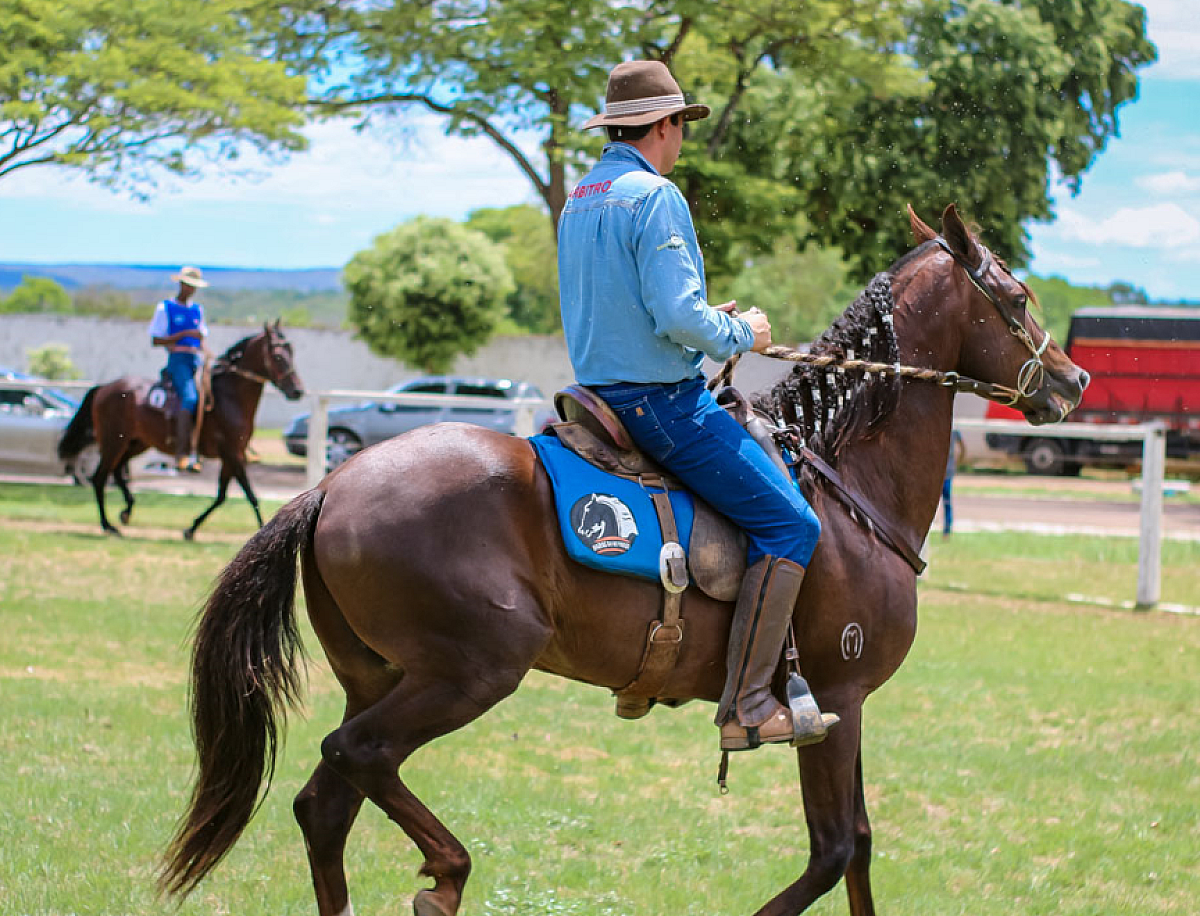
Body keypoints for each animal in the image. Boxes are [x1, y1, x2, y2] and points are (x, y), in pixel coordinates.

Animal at [57, 321, 302, 537]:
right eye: (278, 356)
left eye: (292, 352)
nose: (297, 390)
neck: (229, 397)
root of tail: (104, 387)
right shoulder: (233, 453)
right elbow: (250, 494)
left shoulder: (232, 455)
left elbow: (222, 495)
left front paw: (191, 529)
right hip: (112, 442)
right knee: (100, 477)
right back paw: (108, 526)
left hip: (136, 443)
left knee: (117, 472)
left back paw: (126, 511)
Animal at [157, 204, 1089, 912]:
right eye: (1017, 294)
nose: (1072, 381)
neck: (847, 478)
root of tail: (330, 487)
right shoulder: (837, 699)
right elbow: (831, 854)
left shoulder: (841, 706)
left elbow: (857, 847)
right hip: (472, 670)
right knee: (355, 756)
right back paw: (449, 872)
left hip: (382, 675)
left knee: (326, 802)